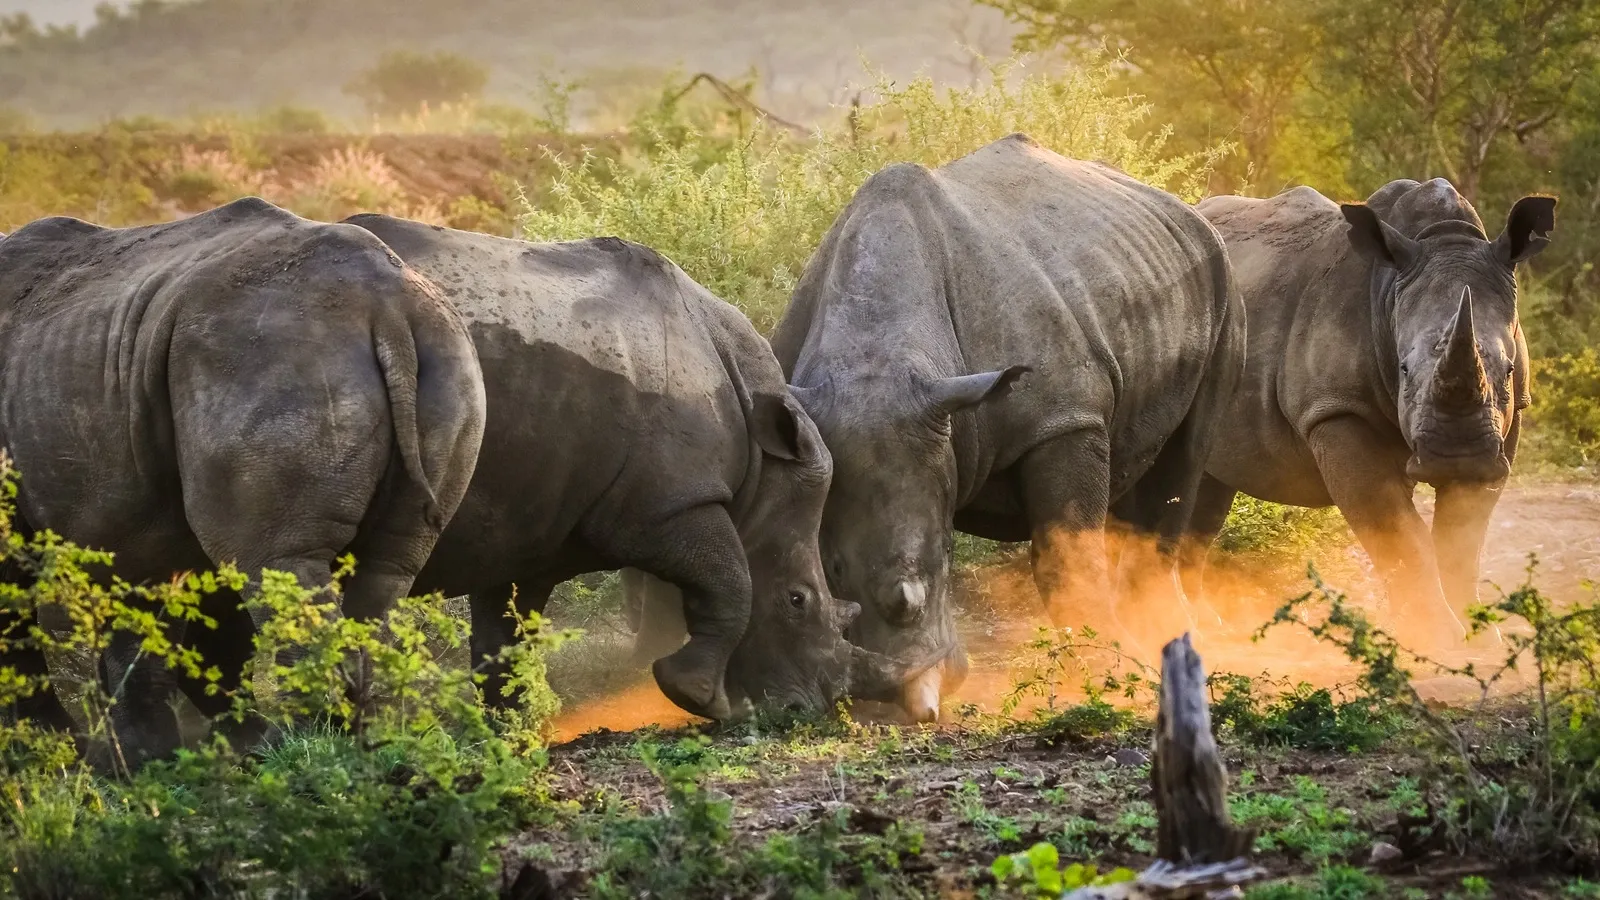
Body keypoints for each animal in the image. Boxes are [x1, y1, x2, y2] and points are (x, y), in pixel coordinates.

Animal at [0, 198, 486, 764]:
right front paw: (146, 758)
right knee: (387, 569)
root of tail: (388, 308)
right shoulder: (135, 519)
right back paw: (368, 740)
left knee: (276, 562)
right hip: (449, 358)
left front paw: (46, 746)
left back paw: (296, 748)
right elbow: (142, 619)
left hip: (268, 356)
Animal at [343, 215, 860, 720]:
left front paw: (510, 729)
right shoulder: (665, 505)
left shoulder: (523, 526)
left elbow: (506, 634)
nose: (804, 711)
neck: (761, 468)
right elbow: (733, 581)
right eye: (797, 600)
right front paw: (697, 696)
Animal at [736, 133, 1243, 722]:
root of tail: (1182, 208)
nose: (914, 702)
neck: (877, 354)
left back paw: (1167, 637)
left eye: (947, 556)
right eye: (834, 570)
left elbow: (1067, 555)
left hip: (1223, 278)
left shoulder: (1063, 420)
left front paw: (1109, 673)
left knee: (1184, 464)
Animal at [1186, 179, 1555, 647]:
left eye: (1507, 371)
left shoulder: (1510, 420)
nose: (1457, 456)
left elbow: (1462, 537)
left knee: (1208, 491)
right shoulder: (1337, 409)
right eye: (1404, 369)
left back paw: (1203, 625)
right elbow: (1397, 531)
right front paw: (1435, 641)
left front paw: (1482, 641)